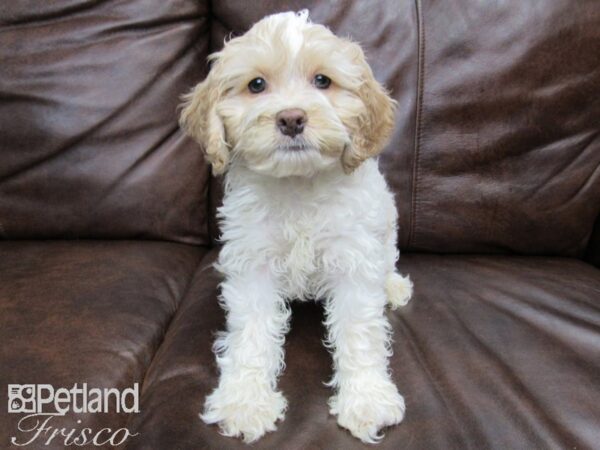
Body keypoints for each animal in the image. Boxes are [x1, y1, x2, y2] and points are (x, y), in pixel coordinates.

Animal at [178, 9, 412, 442]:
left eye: (323, 81)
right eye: (256, 85)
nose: (291, 118)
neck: (298, 184)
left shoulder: (354, 258)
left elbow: (360, 332)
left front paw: (367, 399)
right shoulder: (253, 262)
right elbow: (251, 333)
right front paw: (244, 401)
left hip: (385, 223)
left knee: (388, 259)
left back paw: (392, 285)